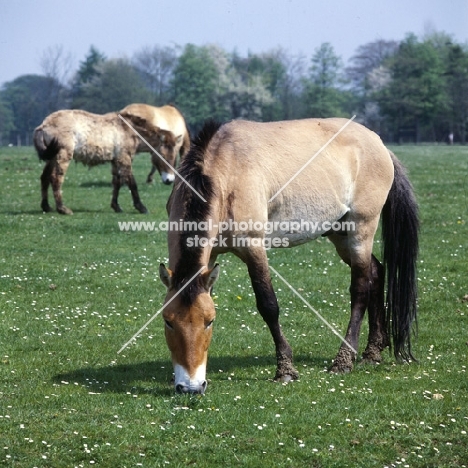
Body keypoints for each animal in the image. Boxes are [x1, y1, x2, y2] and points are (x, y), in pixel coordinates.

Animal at [33, 109, 178, 215]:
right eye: (163, 156)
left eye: (174, 158)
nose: (169, 180)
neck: (128, 129)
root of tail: (43, 126)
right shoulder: (125, 158)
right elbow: (132, 183)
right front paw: (141, 207)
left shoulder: (115, 161)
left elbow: (117, 183)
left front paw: (116, 207)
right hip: (63, 155)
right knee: (56, 178)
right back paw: (63, 209)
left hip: (52, 157)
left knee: (44, 177)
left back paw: (46, 207)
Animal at [159, 119, 418, 394]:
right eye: (168, 321)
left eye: (209, 321)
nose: (190, 387)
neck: (224, 172)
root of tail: (378, 143)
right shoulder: (208, 260)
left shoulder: (253, 247)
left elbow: (268, 305)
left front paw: (285, 369)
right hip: (340, 234)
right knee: (375, 272)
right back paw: (373, 351)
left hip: (361, 230)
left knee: (360, 290)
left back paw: (344, 360)